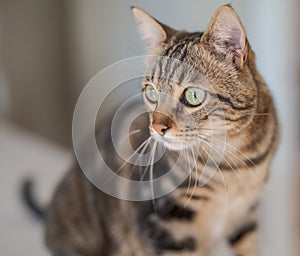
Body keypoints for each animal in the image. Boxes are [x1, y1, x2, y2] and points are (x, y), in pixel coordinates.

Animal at [44, 4, 278, 256]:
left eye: (193, 96)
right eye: (151, 92)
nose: (157, 127)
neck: (233, 166)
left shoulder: (246, 216)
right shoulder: (166, 228)